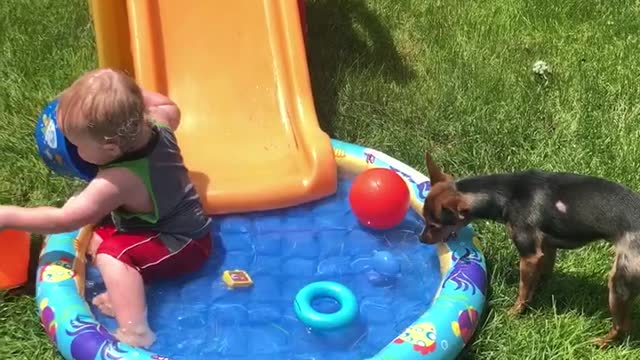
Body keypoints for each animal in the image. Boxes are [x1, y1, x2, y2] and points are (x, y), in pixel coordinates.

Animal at [420, 152, 640, 346]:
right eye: (423, 219)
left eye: (434, 225)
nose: (421, 239)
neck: (505, 194)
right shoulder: (546, 246)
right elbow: (542, 275)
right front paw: (540, 291)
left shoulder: (529, 254)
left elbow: (523, 290)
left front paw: (514, 313)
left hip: (619, 281)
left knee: (623, 326)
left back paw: (601, 343)